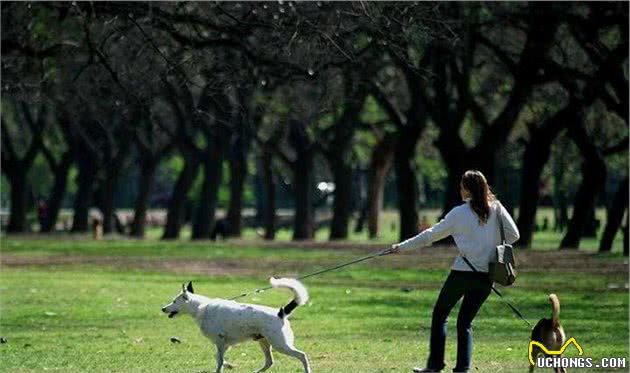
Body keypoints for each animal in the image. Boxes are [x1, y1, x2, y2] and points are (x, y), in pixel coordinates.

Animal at [163, 278, 312, 370]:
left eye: (174, 301)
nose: (163, 308)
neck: (201, 307)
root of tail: (281, 313)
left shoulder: (220, 341)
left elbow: (219, 361)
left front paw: (222, 367)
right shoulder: (224, 344)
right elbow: (218, 358)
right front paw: (227, 365)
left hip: (280, 344)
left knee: (302, 355)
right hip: (264, 342)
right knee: (269, 362)